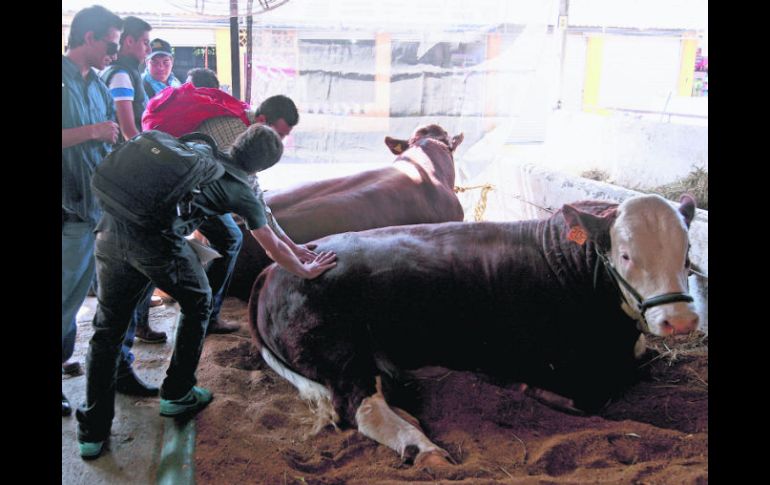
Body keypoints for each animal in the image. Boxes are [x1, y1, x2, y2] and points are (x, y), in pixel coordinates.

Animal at [248, 194, 700, 467]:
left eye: (688, 251)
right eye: (625, 255)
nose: (679, 319)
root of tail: (280, 265)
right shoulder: (580, 371)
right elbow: (597, 392)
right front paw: (533, 390)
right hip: (339, 350)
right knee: (363, 407)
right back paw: (424, 448)